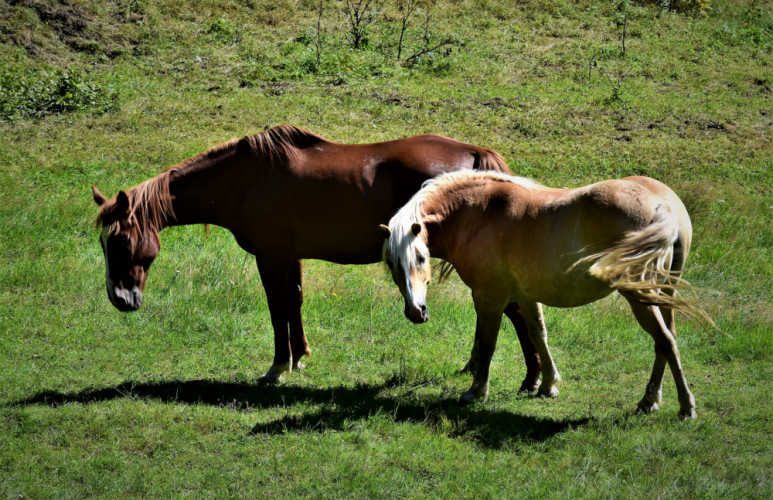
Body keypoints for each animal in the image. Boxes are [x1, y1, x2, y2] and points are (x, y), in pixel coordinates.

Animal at [90, 125, 536, 386]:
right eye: (104, 244)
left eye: (121, 242)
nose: (120, 299)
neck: (245, 179)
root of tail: (475, 154)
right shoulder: (290, 257)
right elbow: (295, 304)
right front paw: (299, 358)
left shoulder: (270, 258)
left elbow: (278, 308)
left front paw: (277, 367)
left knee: (511, 309)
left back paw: (530, 378)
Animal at [382, 171, 712, 418]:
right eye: (392, 263)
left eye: (420, 258)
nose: (416, 312)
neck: (479, 212)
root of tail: (663, 206)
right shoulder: (526, 295)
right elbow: (538, 335)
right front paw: (548, 385)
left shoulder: (489, 297)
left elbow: (487, 345)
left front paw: (476, 392)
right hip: (662, 292)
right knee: (664, 341)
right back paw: (650, 401)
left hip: (641, 296)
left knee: (665, 341)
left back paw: (686, 407)